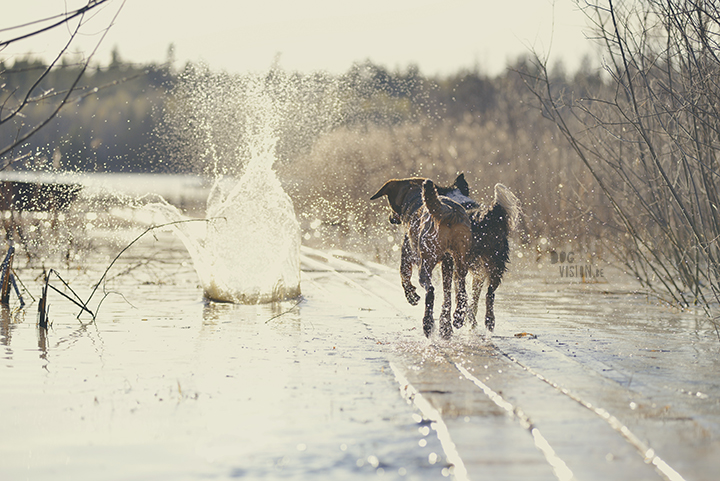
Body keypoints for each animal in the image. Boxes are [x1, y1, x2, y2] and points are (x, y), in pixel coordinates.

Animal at [372, 174, 472, 336]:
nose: (390, 217)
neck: (414, 197)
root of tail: (447, 210)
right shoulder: (447, 262)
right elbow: (447, 293)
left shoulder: (407, 253)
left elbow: (404, 275)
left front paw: (412, 296)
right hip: (461, 261)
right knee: (459, 291)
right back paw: (455, 319)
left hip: (425, 263)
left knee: (430, 291)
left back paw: (428, 324)